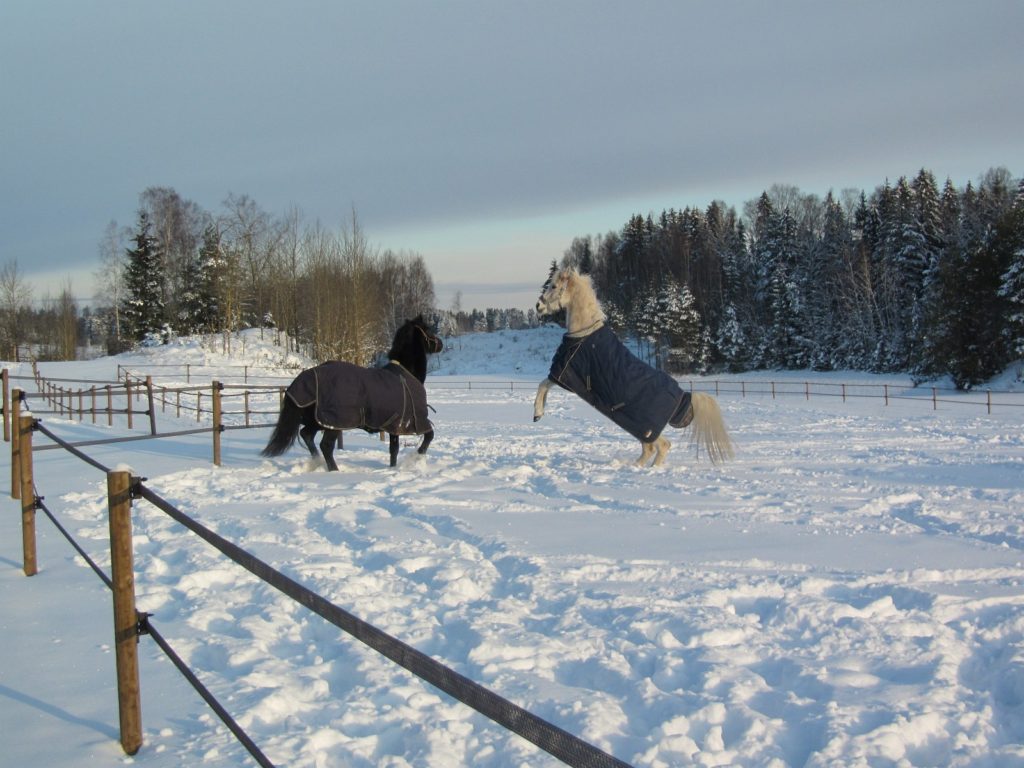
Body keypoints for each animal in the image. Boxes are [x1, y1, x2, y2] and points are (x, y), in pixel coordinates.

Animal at [262, 317, 442, 473]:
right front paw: (417, 458)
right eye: (428, 330)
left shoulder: (394, 426)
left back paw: (318, 462)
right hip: (333, 423)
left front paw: (393, 468)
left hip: (319, 421)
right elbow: (429, 436)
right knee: (325, 445)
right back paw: (334, 471)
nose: (440, 344)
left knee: (306, 435)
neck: (405, 373)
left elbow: (394, 450)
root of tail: (305, 378)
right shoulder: (415, 421)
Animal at [532, 268, 733, 466]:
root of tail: (684, 396)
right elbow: (544, 387)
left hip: (644, 427)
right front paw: (540, 412)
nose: (538, 306)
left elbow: (542, 385)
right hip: (638, 426)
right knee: (651, 448)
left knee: (661, 446)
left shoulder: (564, 373)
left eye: (554, 286)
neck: (583, 333)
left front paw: (537, 414)